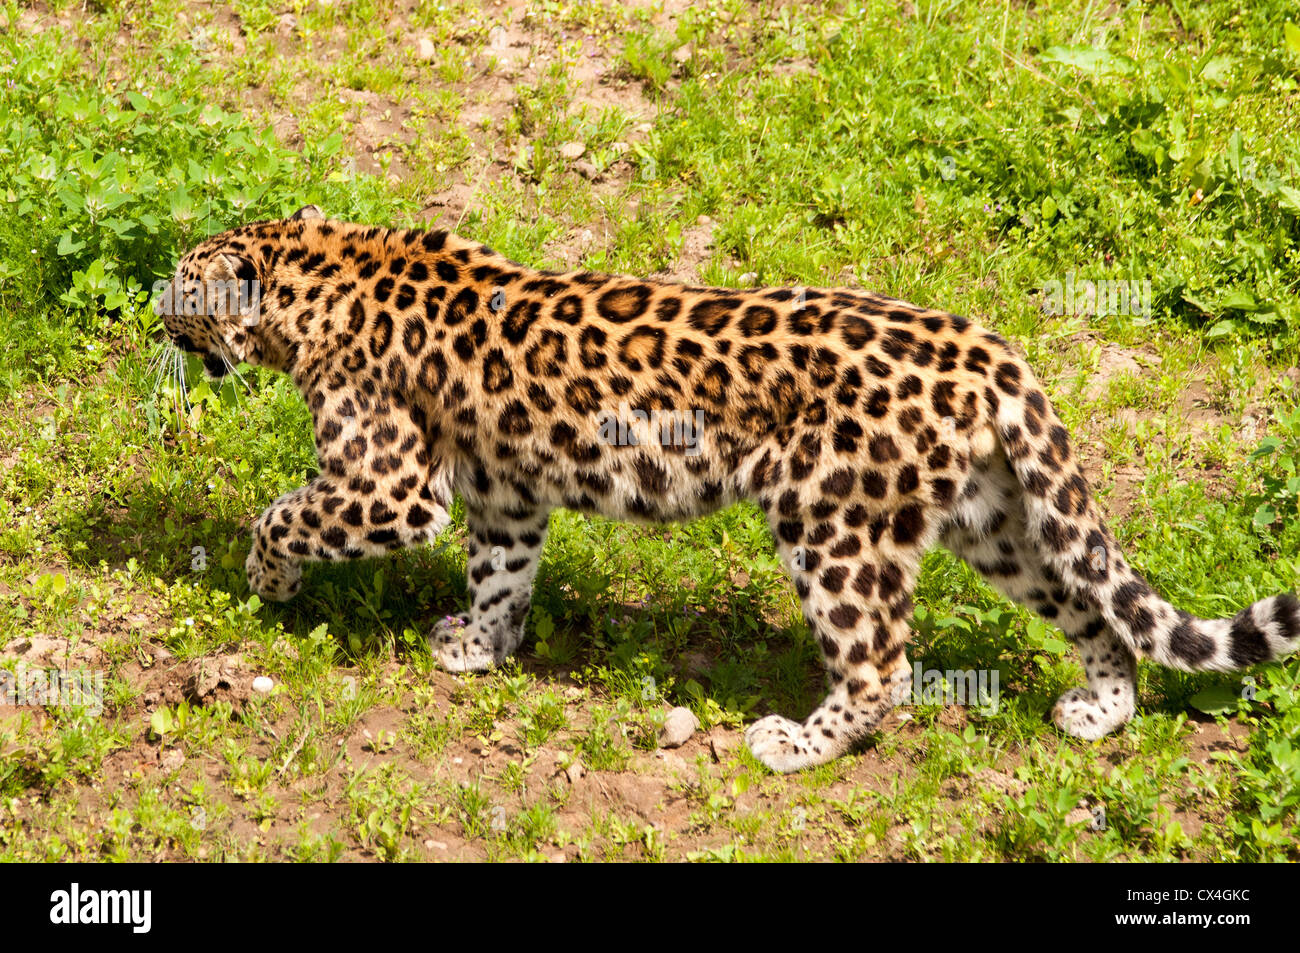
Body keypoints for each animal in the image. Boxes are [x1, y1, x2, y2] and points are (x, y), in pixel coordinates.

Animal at [156, 204, 1300, 773]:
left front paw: (267, 580)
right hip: (998, 520)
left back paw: (794, 745)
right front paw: (479, 647)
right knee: (1094, 610)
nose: (152, 309)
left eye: (182, 282)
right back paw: (1099, 711)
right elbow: (501, 572)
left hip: (834, 522)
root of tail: (985, 347)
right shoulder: (504, 489)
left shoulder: (392, 485)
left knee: (881, 663)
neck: (315, 273)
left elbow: (286, 512)